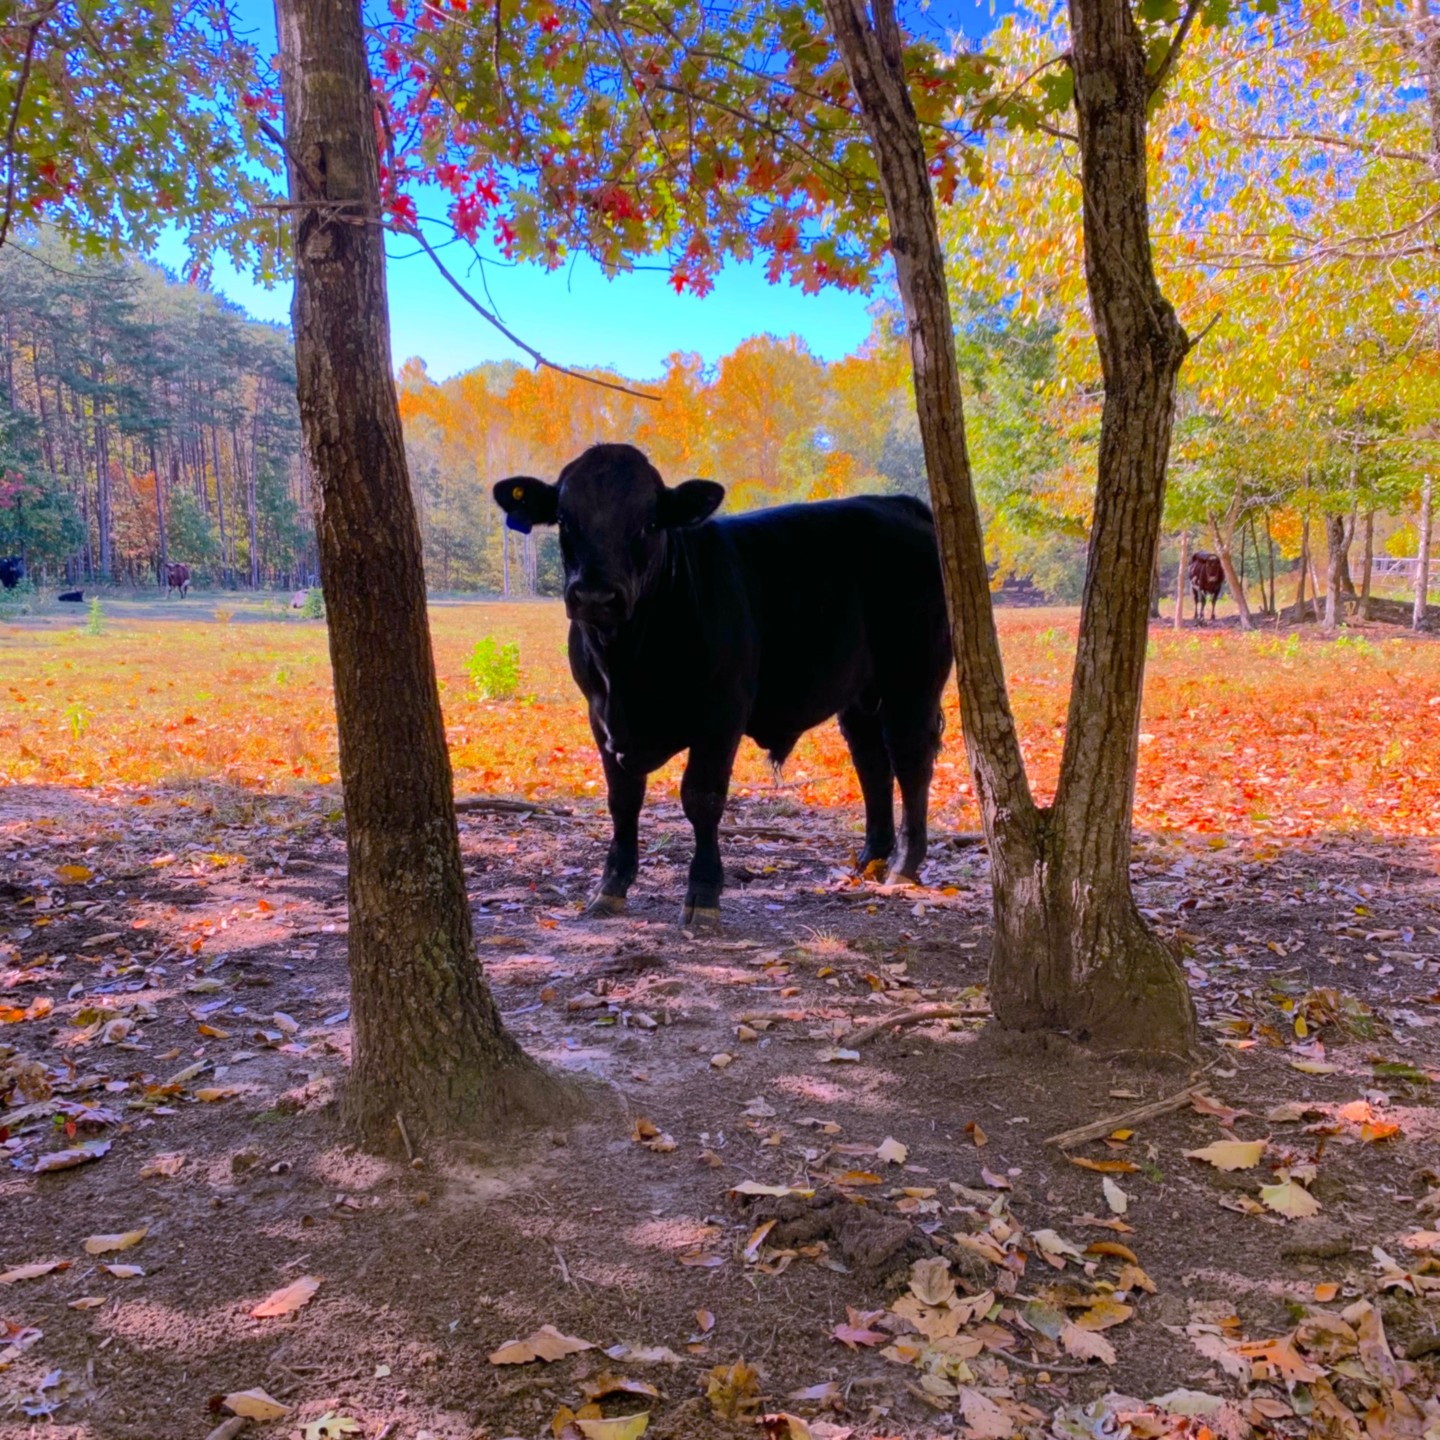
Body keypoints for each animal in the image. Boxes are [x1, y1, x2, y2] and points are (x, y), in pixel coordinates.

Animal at [494, 443, 953, 926]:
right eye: (564, 519)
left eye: (650, 521)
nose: (596, 596)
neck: (626, 668)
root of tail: (895, 504)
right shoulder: (600, 717)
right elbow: (622, 800)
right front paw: (611, 886)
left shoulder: (723, 711)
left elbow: (702, 797)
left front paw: (703, 893)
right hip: (861, 695)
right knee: (871, 762)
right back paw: (871, 859)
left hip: (914, 679)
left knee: (910, 759)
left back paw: (903, 865)